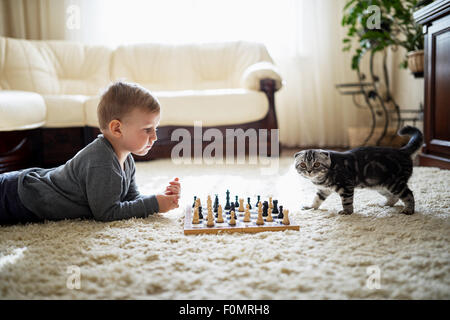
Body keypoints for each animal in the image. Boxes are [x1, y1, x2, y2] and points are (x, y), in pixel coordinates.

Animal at [294, 125, 424, 215]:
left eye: (316, 164)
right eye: (303, 165)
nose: (309, 171)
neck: (321, 178)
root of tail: (402, 151)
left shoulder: (346, 186)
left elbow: (346, 201)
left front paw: (347, 212)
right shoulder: (323, 190)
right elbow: (316, 199)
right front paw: (311, 207)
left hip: (394, 183)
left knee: (408, 194)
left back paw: (408, 210)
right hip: (379, 185)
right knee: (395, 197)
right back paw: (386, 205)